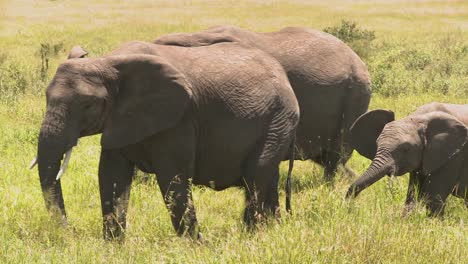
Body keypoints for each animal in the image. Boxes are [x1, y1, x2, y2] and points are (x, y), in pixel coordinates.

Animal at [32, 40, 300, 239]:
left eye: (87, 105)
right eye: (45, 97)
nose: (69, 231)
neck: (108, 62)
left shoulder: (179, 118)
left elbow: (173, 179)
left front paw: (195, 247)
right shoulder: (119, 120)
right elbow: (111, 175)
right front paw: (113, 249)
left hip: (279, 118)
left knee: (256, 175)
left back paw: (251, 236)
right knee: (267, 177)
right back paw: (273, 230)